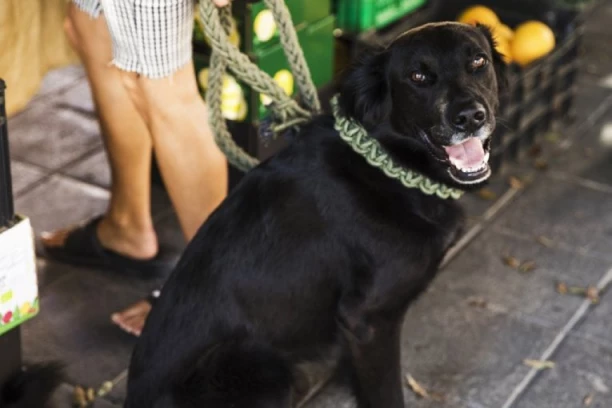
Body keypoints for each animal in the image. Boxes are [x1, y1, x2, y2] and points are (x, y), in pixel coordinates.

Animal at [125, 22, 506, 408]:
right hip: (260, 366)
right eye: (418, 76)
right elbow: (386, 392)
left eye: (478, 61)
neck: (387, 166)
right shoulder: (371, 319)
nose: (469, 117)